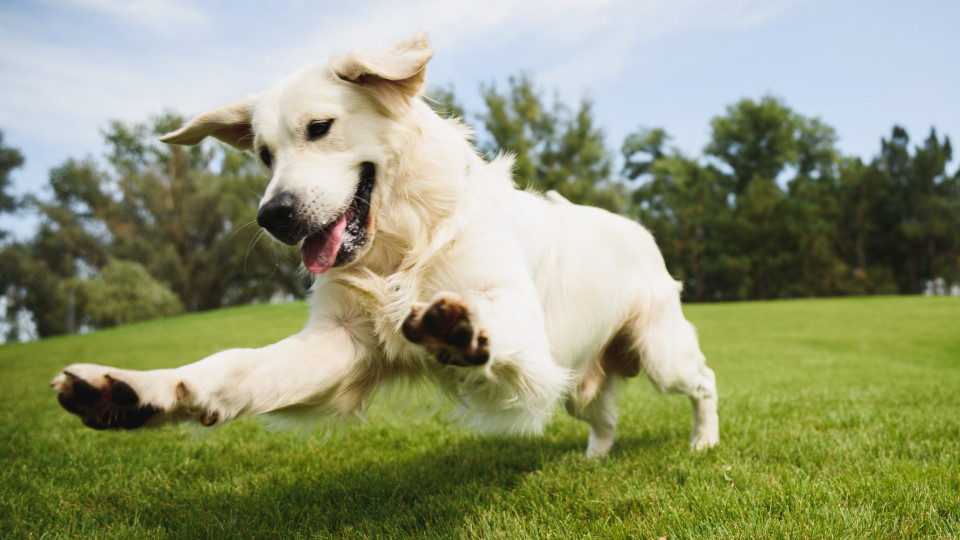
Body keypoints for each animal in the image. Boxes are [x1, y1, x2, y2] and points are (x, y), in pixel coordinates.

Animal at [48, 33, 716, 456]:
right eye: (263, 155)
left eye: (319, 127)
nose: (273, 216)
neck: (405, 246)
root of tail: (639, 229)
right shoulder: (340, 343)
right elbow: (230, 368)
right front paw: (136, 392)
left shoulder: (524, 329)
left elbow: (491, 321)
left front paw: (458, 329)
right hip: (579, 376)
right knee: (603, 414)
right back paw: (594, 457)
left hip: (660, 353)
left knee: (704, 380)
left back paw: (704, 442)